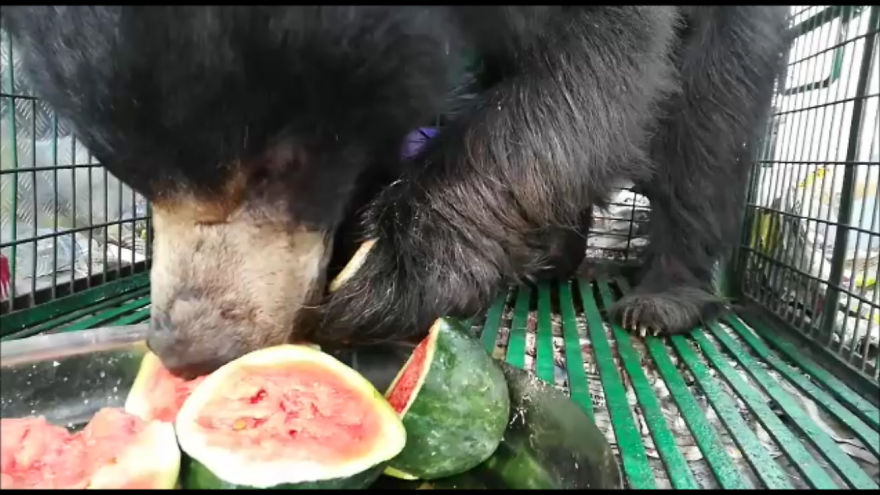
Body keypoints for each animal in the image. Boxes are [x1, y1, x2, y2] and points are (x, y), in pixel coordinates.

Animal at [2, 6, 791, 376]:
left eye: (279, 163)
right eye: (128, 177)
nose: (191, 349)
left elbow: (599, 69)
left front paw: (396, 270)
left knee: (711, 120)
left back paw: (663, 299)